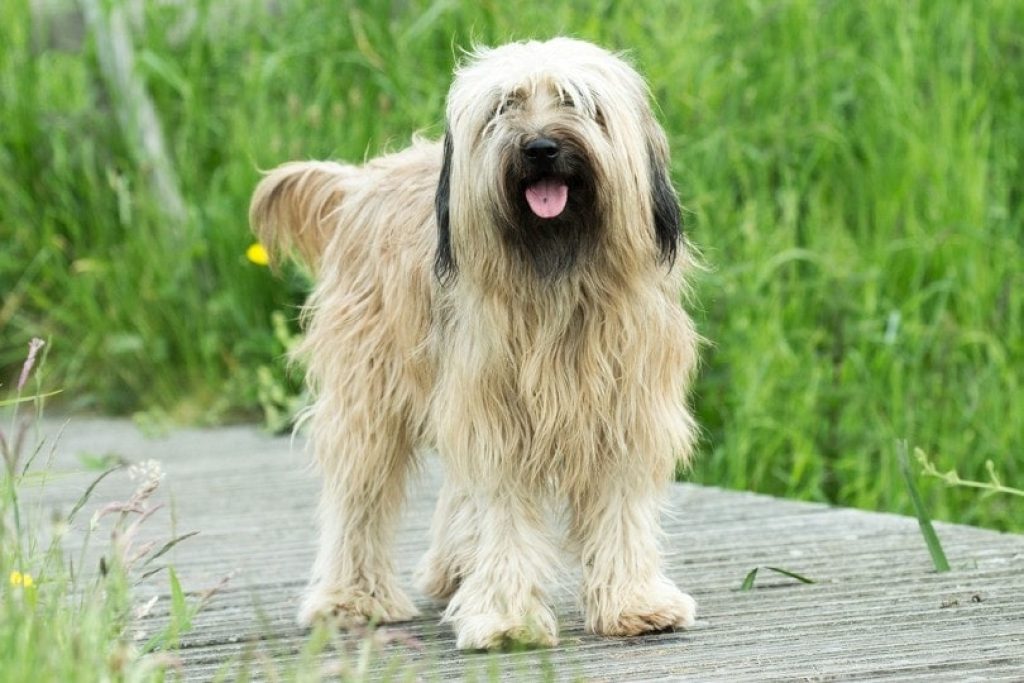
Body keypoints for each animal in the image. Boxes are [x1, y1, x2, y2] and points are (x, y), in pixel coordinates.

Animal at [250, 38, 704, 651]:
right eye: (503, 108)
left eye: (575, 102)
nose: (540, 148)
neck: (557, 274)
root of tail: (361, 182)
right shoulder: (496, 411)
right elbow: (503, 512)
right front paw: (509, 619)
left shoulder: (623, 408)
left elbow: (619, 507)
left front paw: (635, 603)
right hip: (370, 389)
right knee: (359, 494)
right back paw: (353, 598)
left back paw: (452, 570)